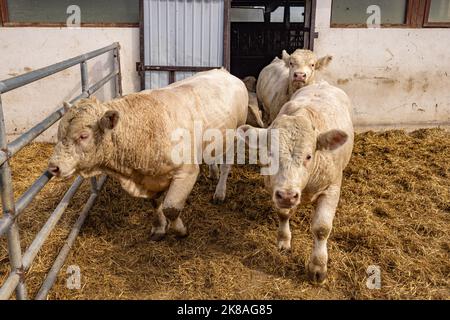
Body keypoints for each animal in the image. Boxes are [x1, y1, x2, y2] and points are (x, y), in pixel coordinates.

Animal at [47, 69, 248, 240]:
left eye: (83, 135)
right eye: (59, 133)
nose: (53, 167)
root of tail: (223, 71)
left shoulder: (187, 171)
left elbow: (171, 208)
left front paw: (181, 230)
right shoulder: (149, 178)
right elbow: (155, 203)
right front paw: (159, 228)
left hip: (234, 133)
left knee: (226, 165)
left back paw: (220, 192)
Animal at [237, 81, 354, 284]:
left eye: (308, 156)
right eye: (270, 153)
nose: (288, 195)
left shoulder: (331, 188)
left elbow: (322, 228)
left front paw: (318, 267)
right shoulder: (275, 189)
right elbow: (283, 214)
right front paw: (284, 241)